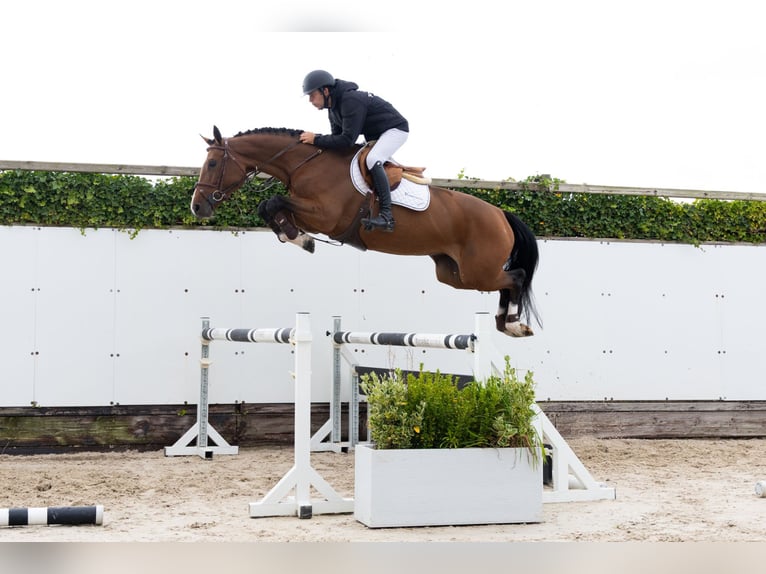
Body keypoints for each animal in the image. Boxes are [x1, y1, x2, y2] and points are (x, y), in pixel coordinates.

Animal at [191, 126, 540, 337]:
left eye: (212, 164)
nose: (197, 207)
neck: (306, 164)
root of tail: (501, 214)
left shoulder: (325, 216)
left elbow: (273, 201)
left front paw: (300, 239)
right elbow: (268, 206)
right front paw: (295, 237)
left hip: (477, 271)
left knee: (517, 276)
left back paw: (513, 324)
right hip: (452, 273)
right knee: (505, 281)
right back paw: (505, 322)